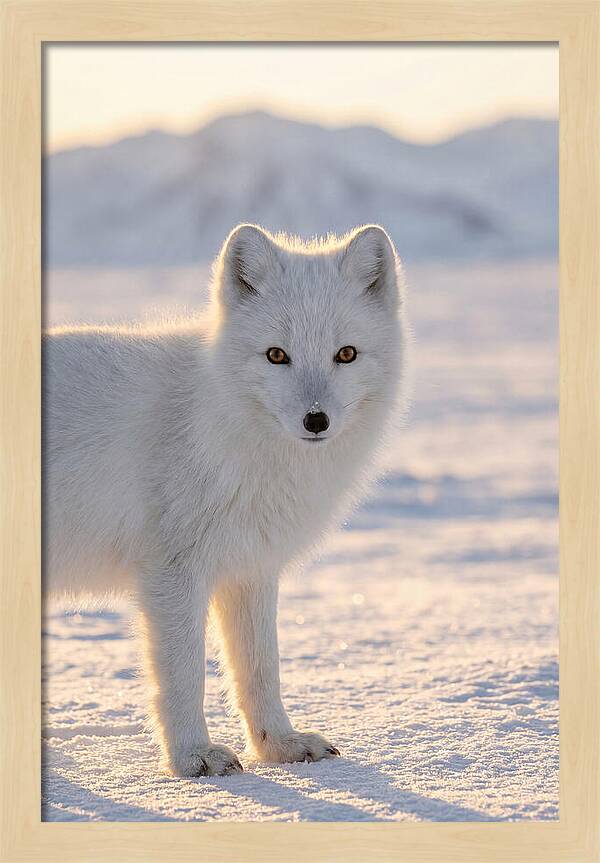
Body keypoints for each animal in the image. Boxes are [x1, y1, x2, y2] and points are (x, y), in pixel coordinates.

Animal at [43, 223, 408, 777]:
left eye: (346, 354)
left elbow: (260, 669)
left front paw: (279, 746)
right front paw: (192, 758)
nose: (316, 420)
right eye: (277, 355)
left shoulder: (250, 567)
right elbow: (184, 674)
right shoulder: (172, 571)